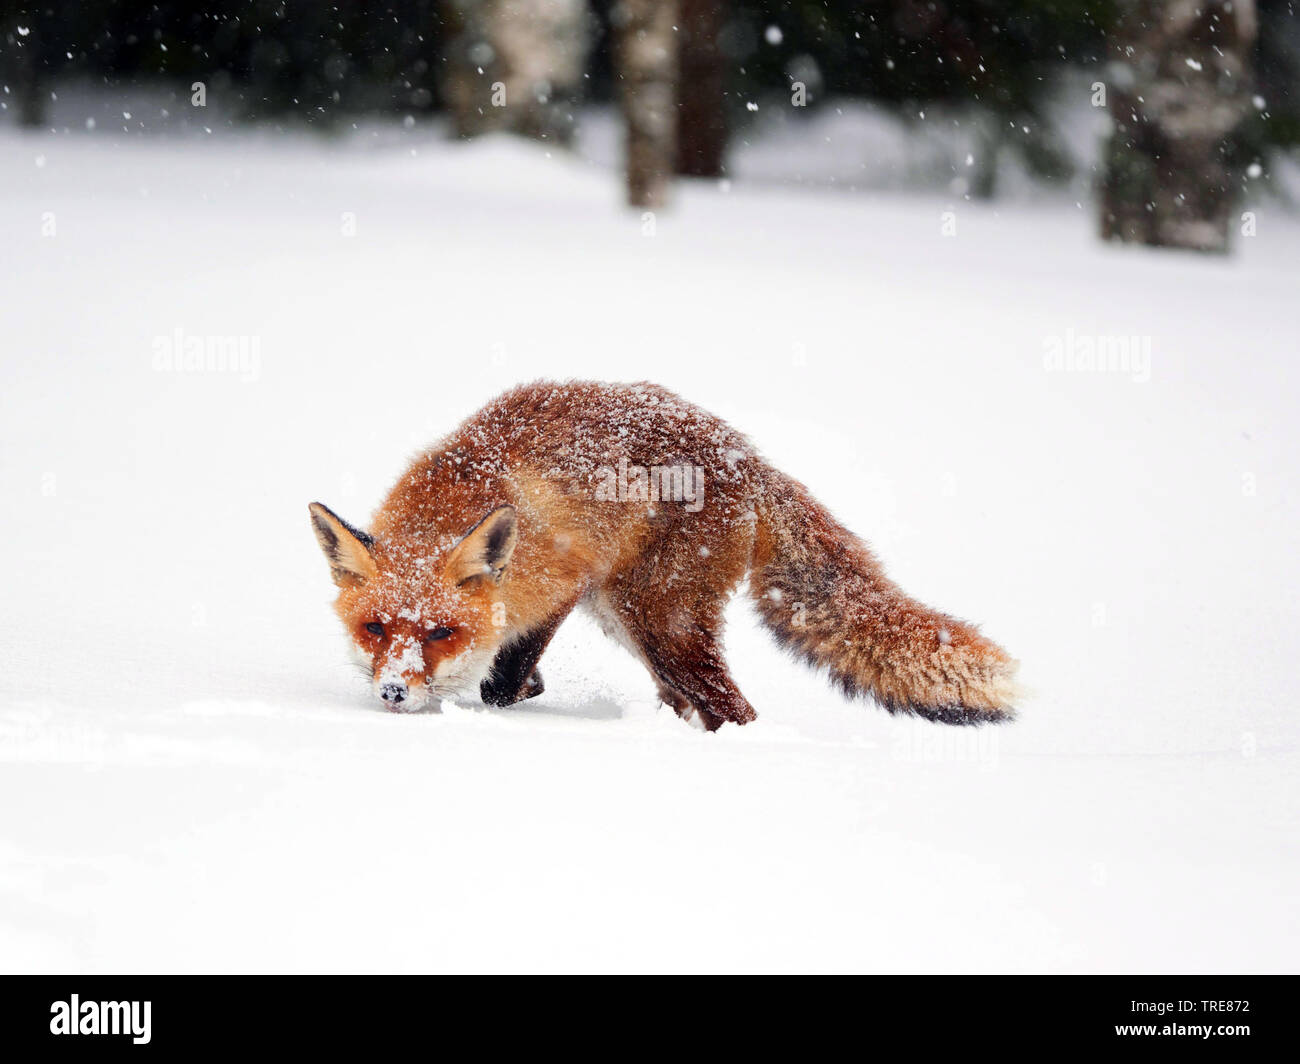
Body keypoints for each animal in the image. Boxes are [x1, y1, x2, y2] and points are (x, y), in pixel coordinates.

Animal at [309, 380, 1018, 730]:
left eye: (441, 631)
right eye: (375, 628)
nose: (395, 692)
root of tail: (746, 455)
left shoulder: (568, 578)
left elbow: (504, 683)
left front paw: (511, 689)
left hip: (652, 618)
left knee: (737, 711)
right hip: (634, 626)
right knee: (692, 703)